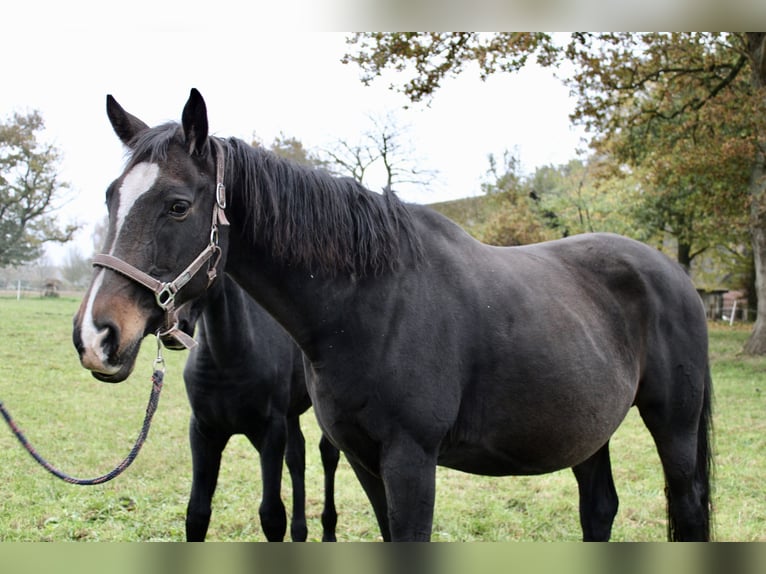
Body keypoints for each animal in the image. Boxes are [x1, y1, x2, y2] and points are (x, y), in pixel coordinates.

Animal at [176, 276, 344, 544]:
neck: (226, 359)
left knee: (328, 455)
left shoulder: (270, 431)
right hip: (290, 414)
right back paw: (300, 532)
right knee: (297, 457)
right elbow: (197, 514)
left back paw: (328, 531)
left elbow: (272, 515)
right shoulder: (204, 431)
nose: (176, 323)